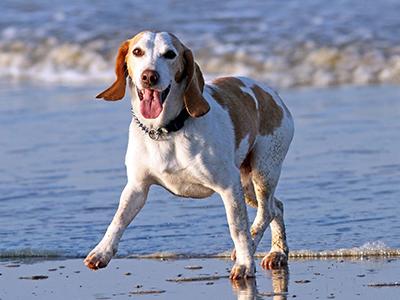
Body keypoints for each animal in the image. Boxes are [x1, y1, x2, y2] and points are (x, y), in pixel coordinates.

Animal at [83, 30, 294, 278]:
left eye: (170, 54)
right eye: (137, 51)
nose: (149, 76)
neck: (166, 131)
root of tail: (271, 93)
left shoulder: (228, 187)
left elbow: (238, 229)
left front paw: (244, 264)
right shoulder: (136, 188)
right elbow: (118, 220)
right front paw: (101, 252)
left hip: (262, 173)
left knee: (266, 211)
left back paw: (255, 249)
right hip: (247, 184)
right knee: (276, 206)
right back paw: (277, 252)